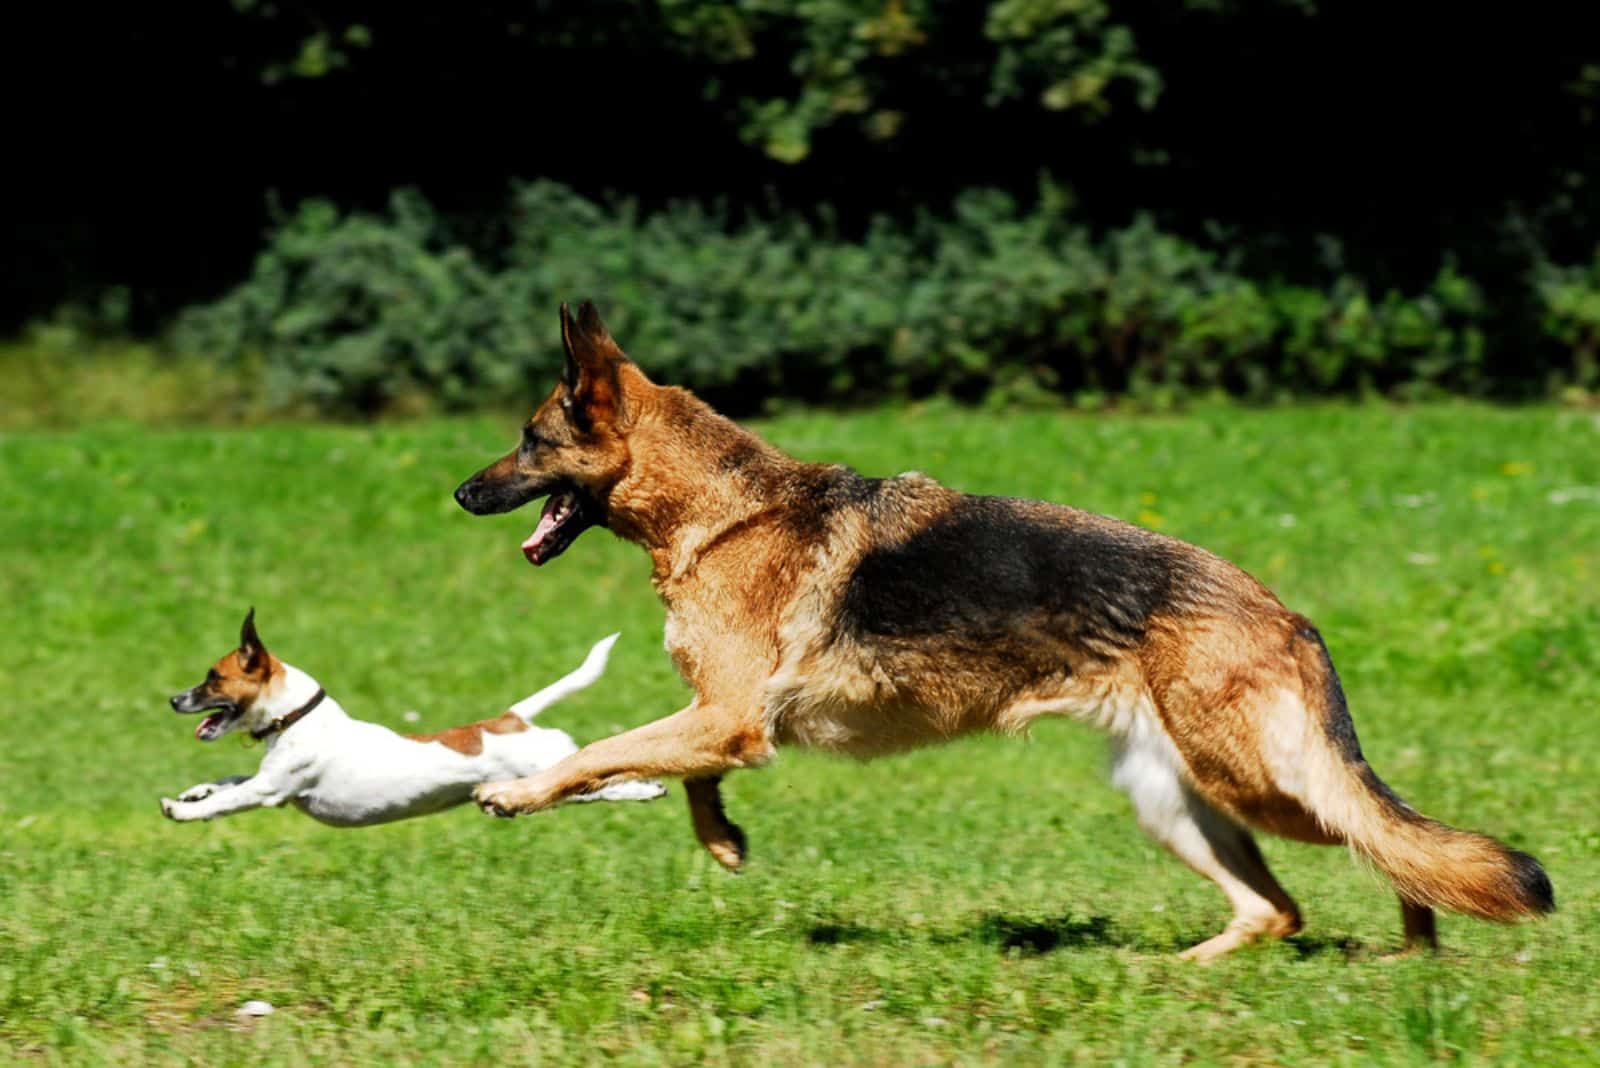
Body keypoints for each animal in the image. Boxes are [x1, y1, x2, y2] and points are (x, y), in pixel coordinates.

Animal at [457, 300, 1555, 959]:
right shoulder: (727, 718)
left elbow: (602, 750)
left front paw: (517, 794)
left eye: (528, 441)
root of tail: (1285, 613)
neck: (721, 508)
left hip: (1258, 783)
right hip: (1176, 799)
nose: (459, 494)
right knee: (1278, 906)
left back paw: (1414, 946)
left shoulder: (724, 714)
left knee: (1379, 839)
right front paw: (723, 839)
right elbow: (683, 769)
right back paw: (1184, 969)